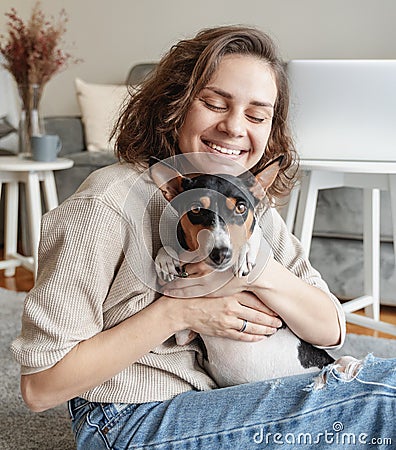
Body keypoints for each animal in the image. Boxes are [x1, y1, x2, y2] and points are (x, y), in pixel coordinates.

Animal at [148, 156, 334, 386]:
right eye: (196, 209)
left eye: (241, 208)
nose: (221, 253)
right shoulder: (184, 335)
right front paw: (165, 259)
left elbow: (255, 234)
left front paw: (245, 252)